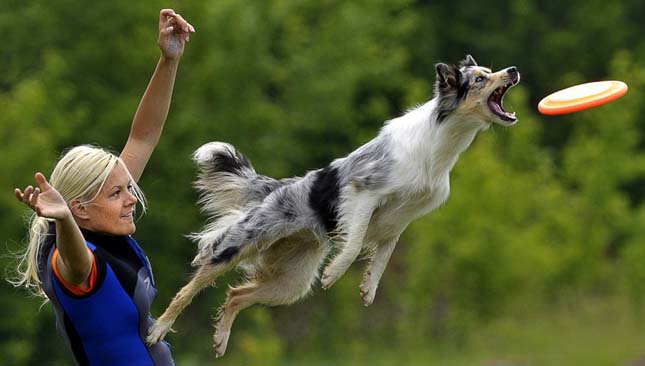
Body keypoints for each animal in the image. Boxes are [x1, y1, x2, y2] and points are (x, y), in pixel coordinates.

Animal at [145, 55, 520, 358]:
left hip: (290, 284)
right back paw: (158, 329)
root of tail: (278, 187)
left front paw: (368, 289)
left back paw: (221, 340)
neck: (439, 144)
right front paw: (335, 273)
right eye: (481, 79)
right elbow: (354, 243)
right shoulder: (363, 192)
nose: (513, 70)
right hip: (238, 245)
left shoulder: (400, 221)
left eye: (491, 72)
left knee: (237, 294)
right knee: (189, 288)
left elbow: (382, 257)